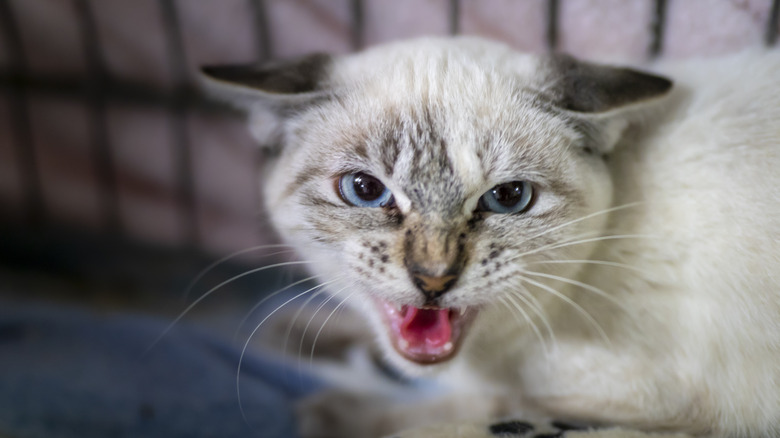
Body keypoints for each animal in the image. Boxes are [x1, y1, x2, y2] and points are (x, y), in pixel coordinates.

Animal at [201, 37, 780, 438]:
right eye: (365, 190)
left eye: (508, 198)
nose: (433, 279)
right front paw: (284, 330)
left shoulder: (658, 406)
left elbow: (460, 411)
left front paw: (333, 411)